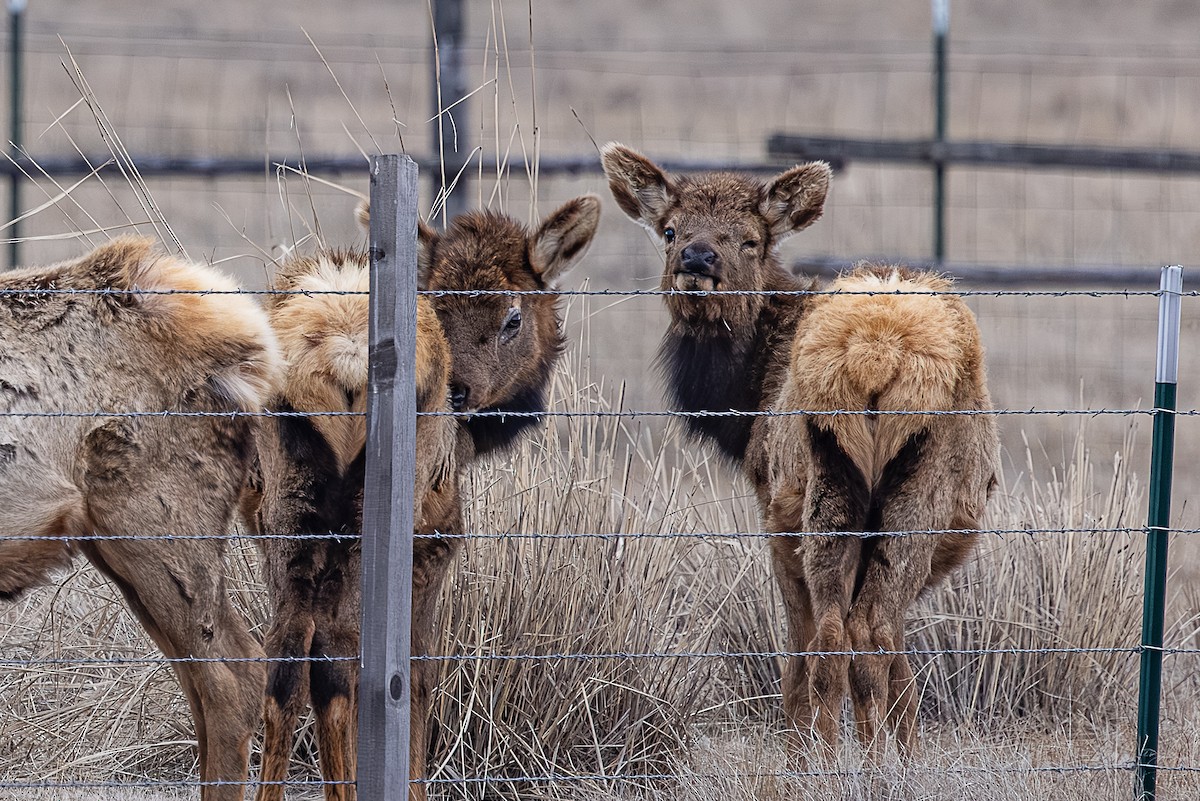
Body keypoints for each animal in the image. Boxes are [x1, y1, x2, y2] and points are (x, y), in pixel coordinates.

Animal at [249, 194, 601, 801]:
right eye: (436, 298)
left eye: (511, 318)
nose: (461, 393)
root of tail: (337, 349)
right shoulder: (432, 546)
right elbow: (415, 675)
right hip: (367, 522)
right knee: (337, 657)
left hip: (289, 511)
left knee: (287, 659)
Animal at [600, 143, 999, 758]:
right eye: (668, 230)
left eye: (750, 239)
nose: (696, 258)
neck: (743, 405)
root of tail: (877, 353)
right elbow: (894, 659)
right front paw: (905, 748)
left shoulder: (771, 507)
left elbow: (801, 645)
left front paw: (801, 741)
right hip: (894, 494)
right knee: (867, 630)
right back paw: (872, 758)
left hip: (828, 489)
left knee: (838, 633)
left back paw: (833, 756)